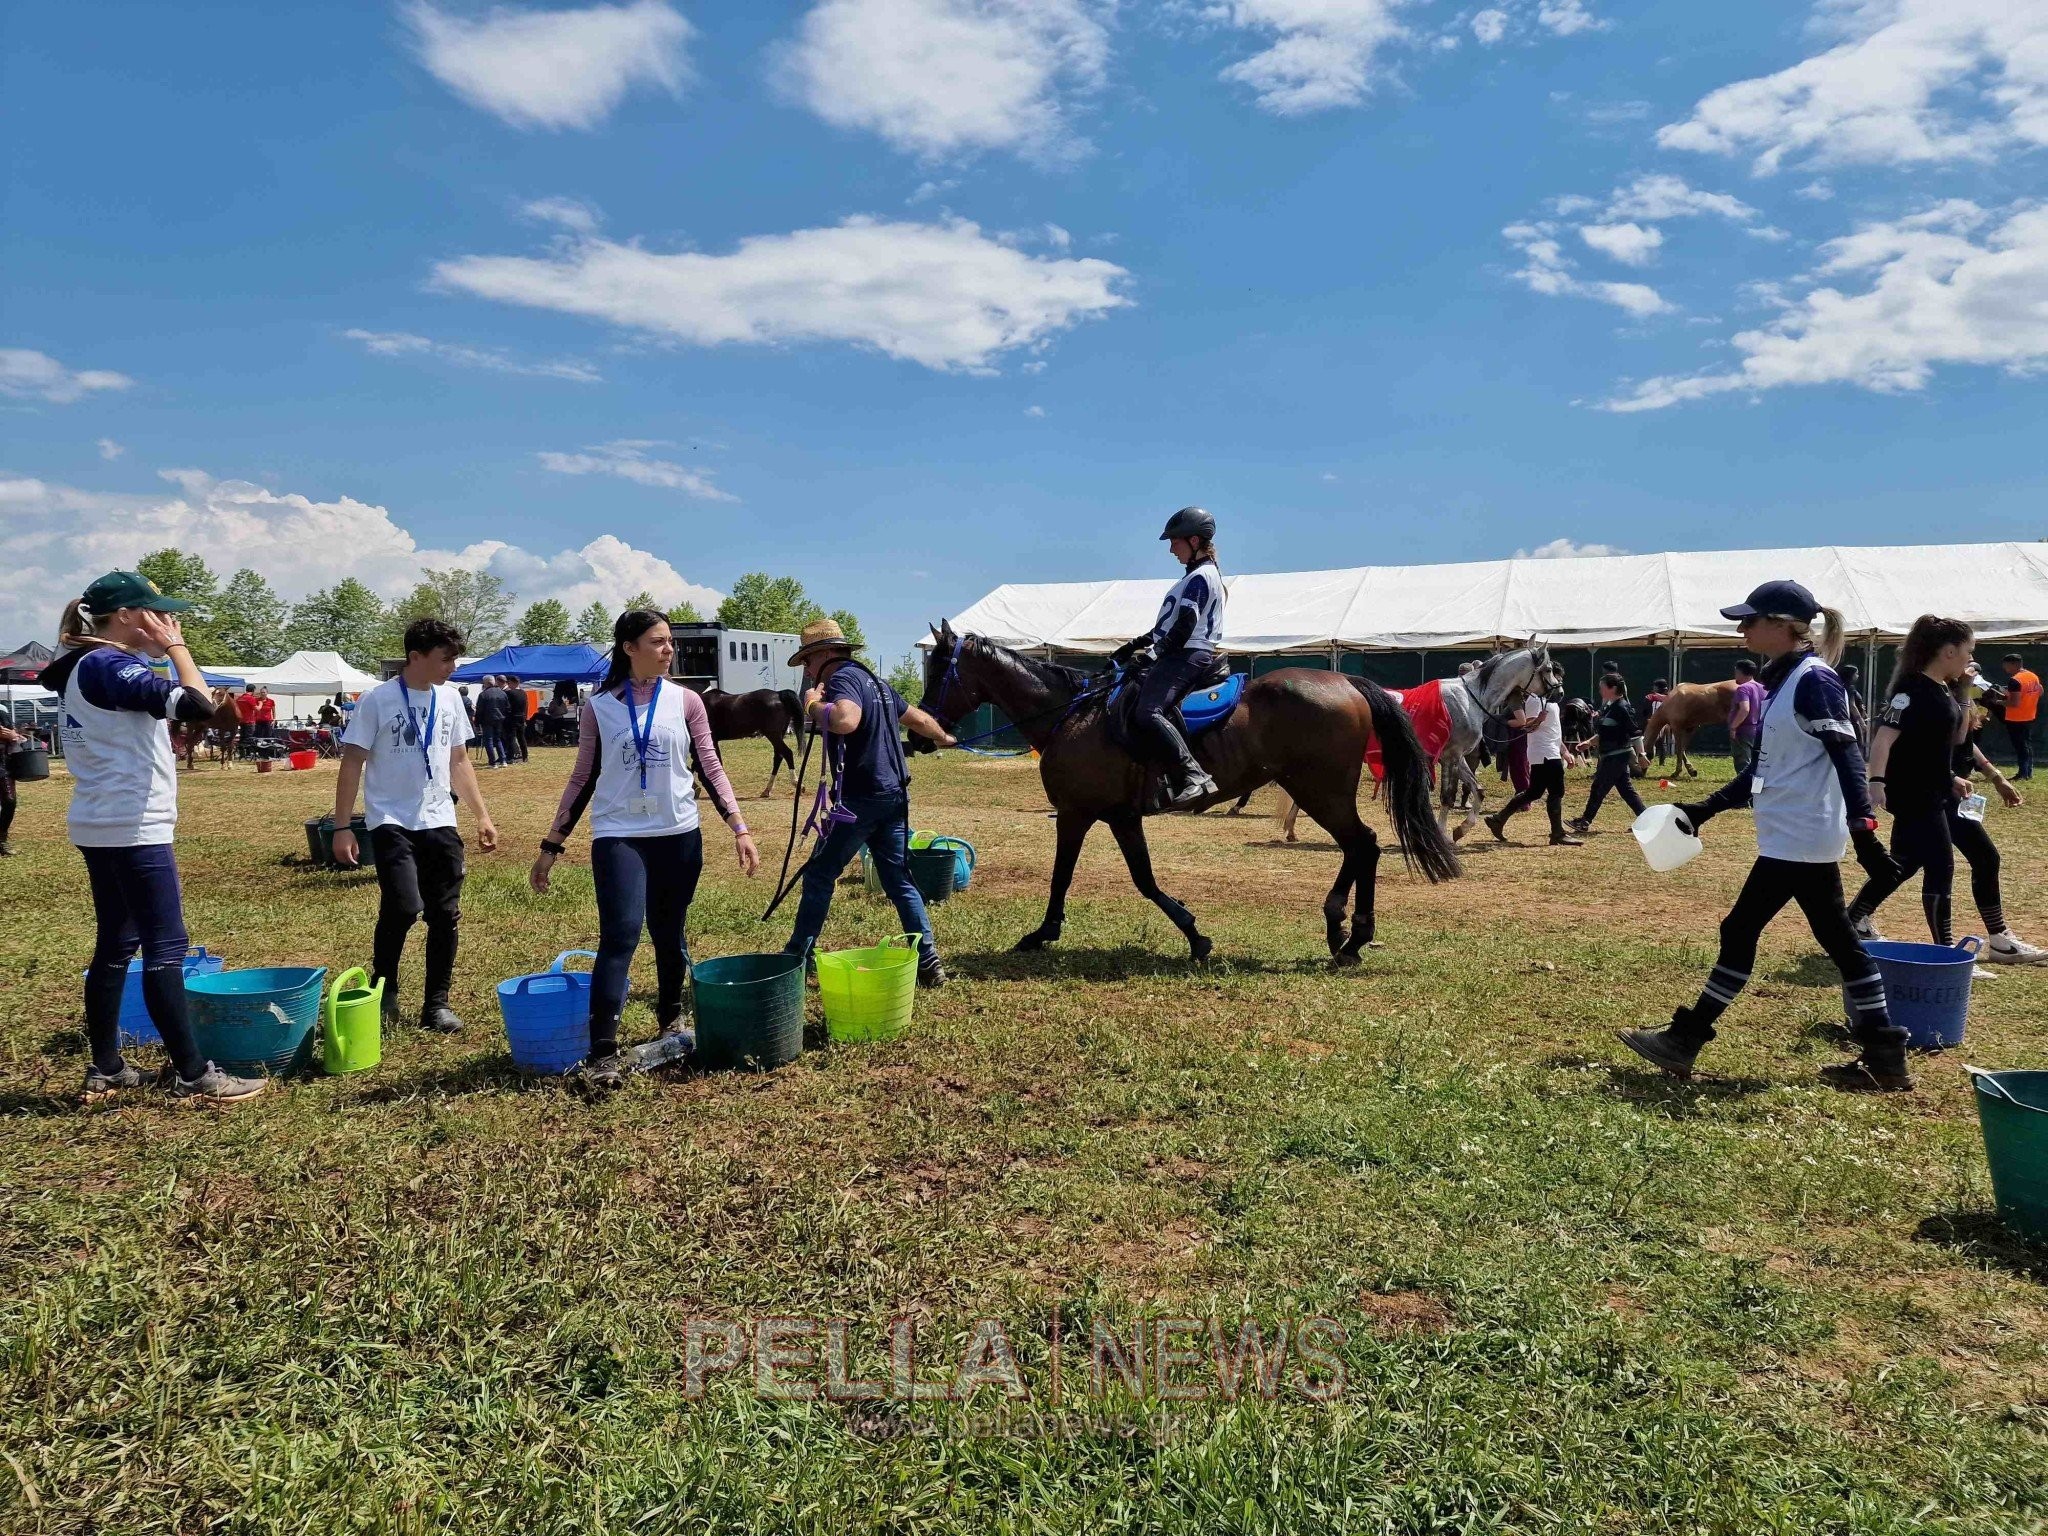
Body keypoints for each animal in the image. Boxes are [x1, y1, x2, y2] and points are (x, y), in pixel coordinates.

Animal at [913, 618, 1458, 966]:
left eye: (940, 671)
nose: (918, 735)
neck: (1072, 714)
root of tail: (1345, 680)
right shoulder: (1120, 817)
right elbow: (1144, 880)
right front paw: (1196, 937)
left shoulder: (1076, 813)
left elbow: (1064, 878)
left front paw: (1040, 934)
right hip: (1318, 790)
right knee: (1359, 848)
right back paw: (1343, 933)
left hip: (1320, 791)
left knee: (1362, 845)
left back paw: (1349, 937)